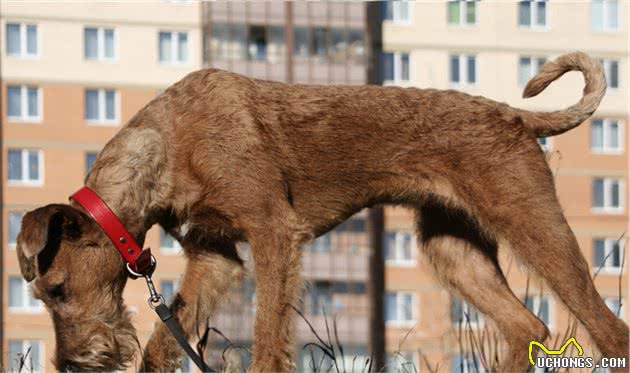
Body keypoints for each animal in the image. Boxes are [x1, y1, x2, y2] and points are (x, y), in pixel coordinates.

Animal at [16, 50, 630, 370]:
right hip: (452, 250)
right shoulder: (214, 256)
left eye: (57, 291)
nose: (68, 365)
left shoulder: (274, 233)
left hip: (534, 224)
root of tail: (515, 115)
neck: (168, 144)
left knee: (606, 327)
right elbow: (164, 342)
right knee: (528, 324)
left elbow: (268, 338)